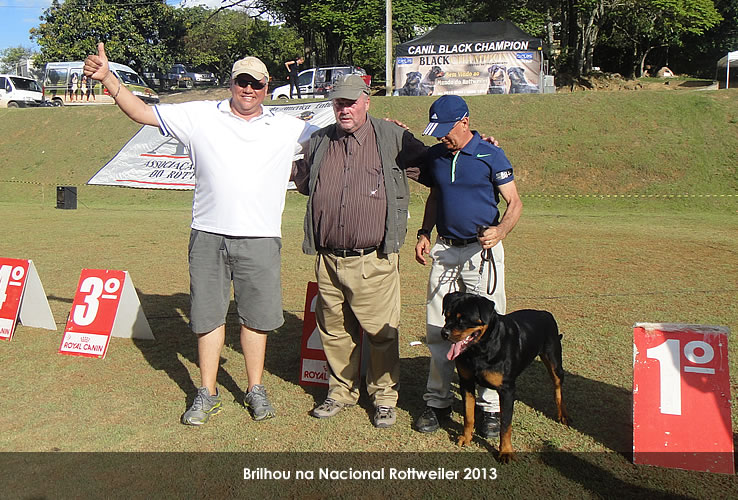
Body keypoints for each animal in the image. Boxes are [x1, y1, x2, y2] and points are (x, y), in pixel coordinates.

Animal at [441, 291, 570, 463]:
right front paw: (466, 438)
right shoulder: (466, 383)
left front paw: (506, 451)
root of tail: (545, 313)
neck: (479, 350)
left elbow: (505, 425)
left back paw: (563, 415)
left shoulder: (507, 390)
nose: (444, 333)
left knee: (558, 387)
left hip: (554, 361)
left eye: (463, 319)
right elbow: (468, 415)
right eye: (447, 316)